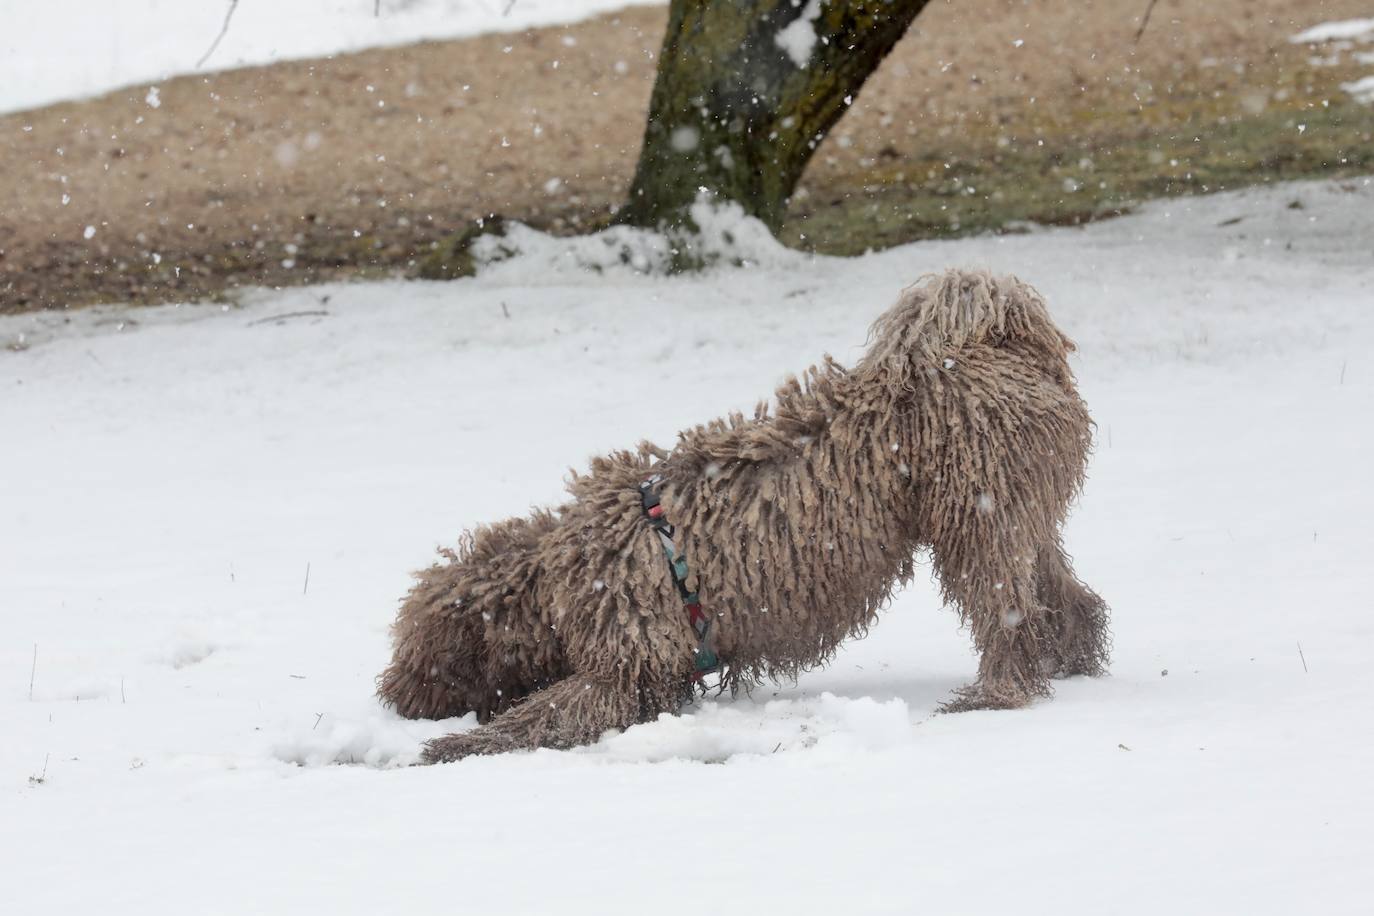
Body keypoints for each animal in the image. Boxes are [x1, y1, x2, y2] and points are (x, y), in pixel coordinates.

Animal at [381, 269, 1110, 763]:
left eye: (419, 651)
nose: (391, 696)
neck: (554, 575)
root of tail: (1007, 344)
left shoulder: (629, 669)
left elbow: (542, 714)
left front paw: (448, 747)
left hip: (977, 513)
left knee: (1008, 612)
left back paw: (997, 692)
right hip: (1019, 513)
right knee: (1070, 597)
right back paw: (1069, 662)